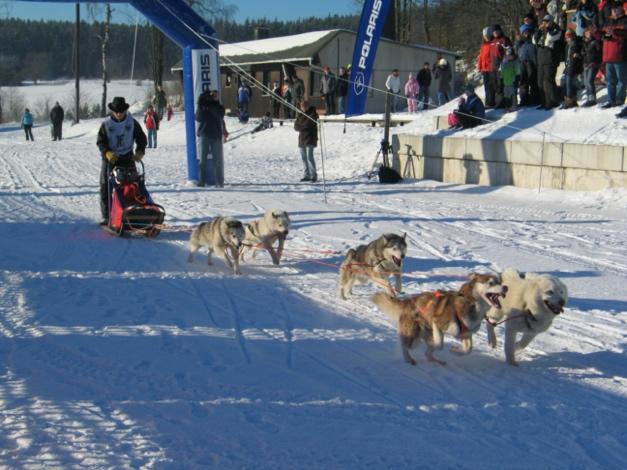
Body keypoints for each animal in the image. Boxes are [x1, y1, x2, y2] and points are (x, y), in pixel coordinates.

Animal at [376, 272, 508, 368]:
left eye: (500, 281)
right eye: (491, 283)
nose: (506, 287)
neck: (471, 303)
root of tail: (407, 301)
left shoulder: (466, 334)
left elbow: (468, 349)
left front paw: (455, 351)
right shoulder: (438, 323)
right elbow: (439, 345)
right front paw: (449, 348)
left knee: (426, 354)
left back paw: (437, 361)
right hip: (414, 337)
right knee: (405, 346)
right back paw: (409, 359)